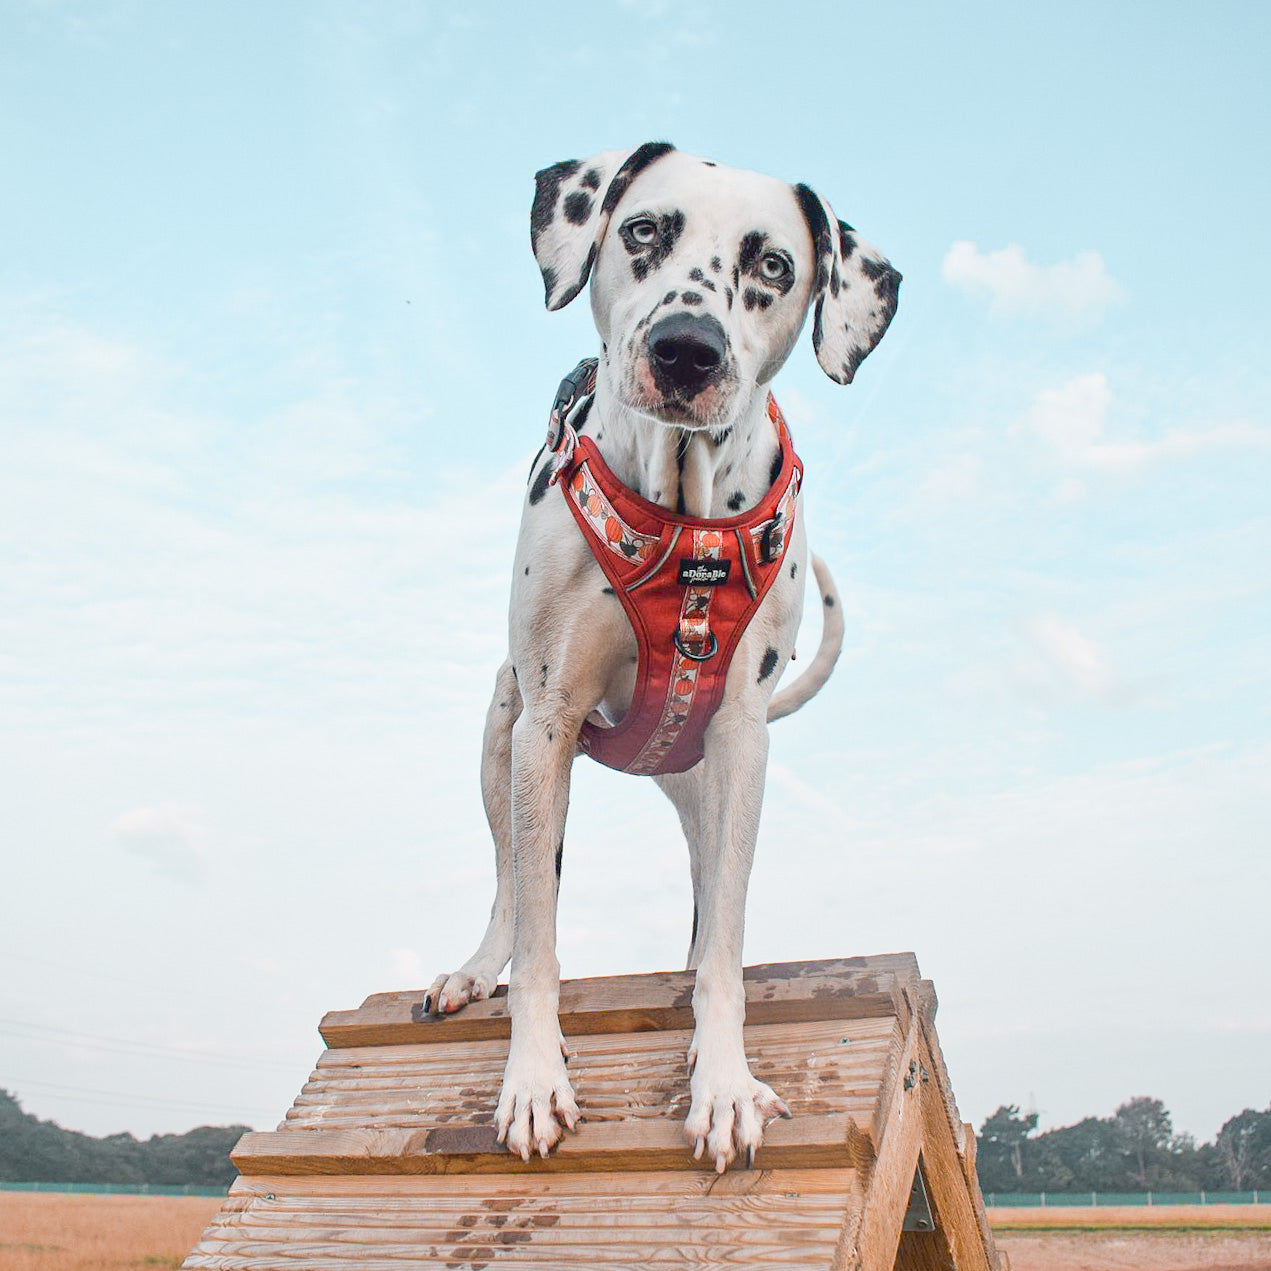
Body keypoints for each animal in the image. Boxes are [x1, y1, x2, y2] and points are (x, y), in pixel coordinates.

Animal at [429, 141, 904, 1169]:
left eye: (774, 266)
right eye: (644, 229)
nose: (686, 348)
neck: (681, 518)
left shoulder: (741, 743)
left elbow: (722, 948)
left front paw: (721, 1081)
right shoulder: (545, 723)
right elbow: (539, 934)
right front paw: (533, 1078)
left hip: (707, 789)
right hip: (502, 734)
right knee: (509, 886)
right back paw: (475, 969)